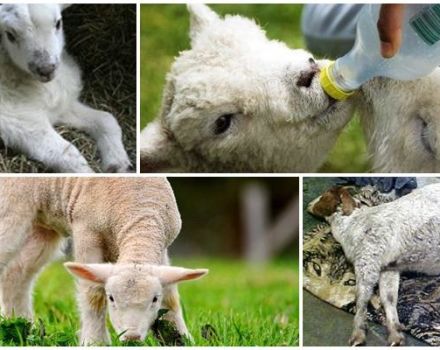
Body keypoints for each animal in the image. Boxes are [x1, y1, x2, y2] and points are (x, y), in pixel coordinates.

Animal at [0, 2, 131, 172]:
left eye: (58, 23)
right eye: (10, 35)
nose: (46, 69)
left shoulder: (62, 106)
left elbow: (107, 120)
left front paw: (117, 164)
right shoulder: (22, 121)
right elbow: (68, 154)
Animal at [0, 178, 208, 344]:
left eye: (155, 299)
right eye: (111, 298)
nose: (131, 337)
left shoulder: (162, 248)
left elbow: (171, 298)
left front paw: (180, 338)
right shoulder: (87, 231)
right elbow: (92, 294)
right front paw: (95, 341)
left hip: (44, 226)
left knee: (16, 272)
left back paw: (21, 325)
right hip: (11, 206)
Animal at [308, 185, 440, 346]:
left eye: (322, 197)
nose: (308, 205)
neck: (351, 223)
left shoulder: (368, 259)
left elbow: (361, 298)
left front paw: (357, 336)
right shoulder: (388, 268)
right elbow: (389, 298)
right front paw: (396, 335)